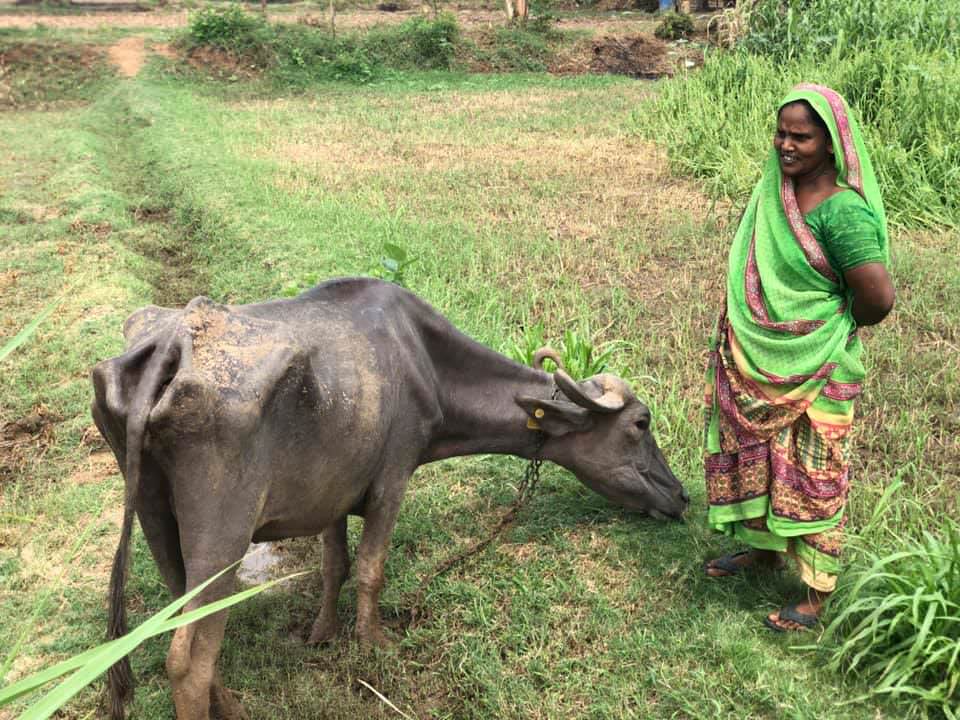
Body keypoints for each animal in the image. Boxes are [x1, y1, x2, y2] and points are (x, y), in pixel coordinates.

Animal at [94, 278, 688, 720]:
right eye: (641, 423)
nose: (680, 495)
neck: (424, 362)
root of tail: (171, 343)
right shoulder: (393, 477)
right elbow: (371, 568)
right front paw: (372, 642)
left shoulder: (332, 493)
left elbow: (335, 564)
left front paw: (322, 633)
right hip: (221, 537)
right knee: (186, 657)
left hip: (157, 520)